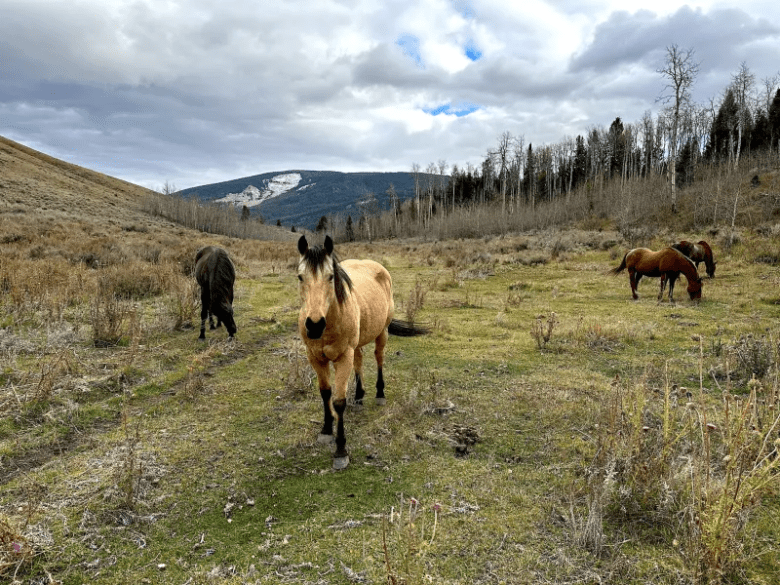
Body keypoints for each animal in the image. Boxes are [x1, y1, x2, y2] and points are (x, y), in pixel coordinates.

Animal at [298, 235, 426, 468]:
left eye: (330, 277)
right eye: (300, 277)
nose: (314, 325)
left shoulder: (343, 357)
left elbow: (338, 402)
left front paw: (341, 450)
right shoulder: (315, 357)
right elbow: (325, 393)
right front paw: (326, 430)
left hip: (382, 332)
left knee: (378, 358)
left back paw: (379, 394)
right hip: (357, 343)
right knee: (359, 359)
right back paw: (358, 396)